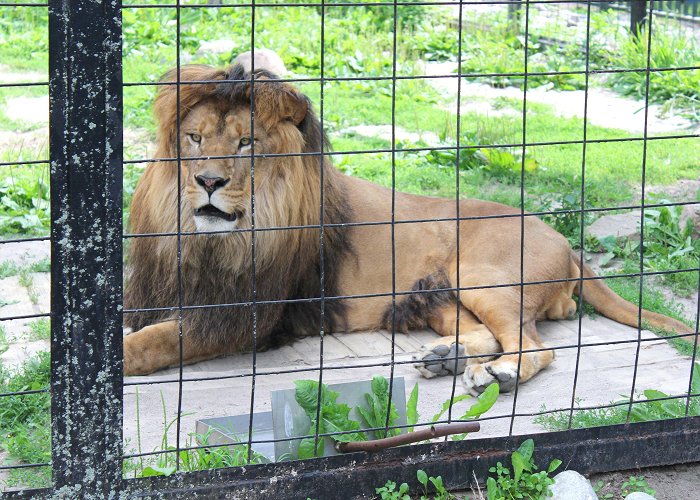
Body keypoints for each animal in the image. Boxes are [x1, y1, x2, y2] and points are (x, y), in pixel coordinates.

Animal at [123, 64, 692, 396]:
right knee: (487, 333)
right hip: (439, 298)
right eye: (195, 139)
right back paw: (447, 360)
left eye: (247, 144)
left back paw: (499, 374)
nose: (207, 181)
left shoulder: (244, 317)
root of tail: (565, 241)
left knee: (533, 345)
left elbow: (150, 343)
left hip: (483, 277)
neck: (206, 241)